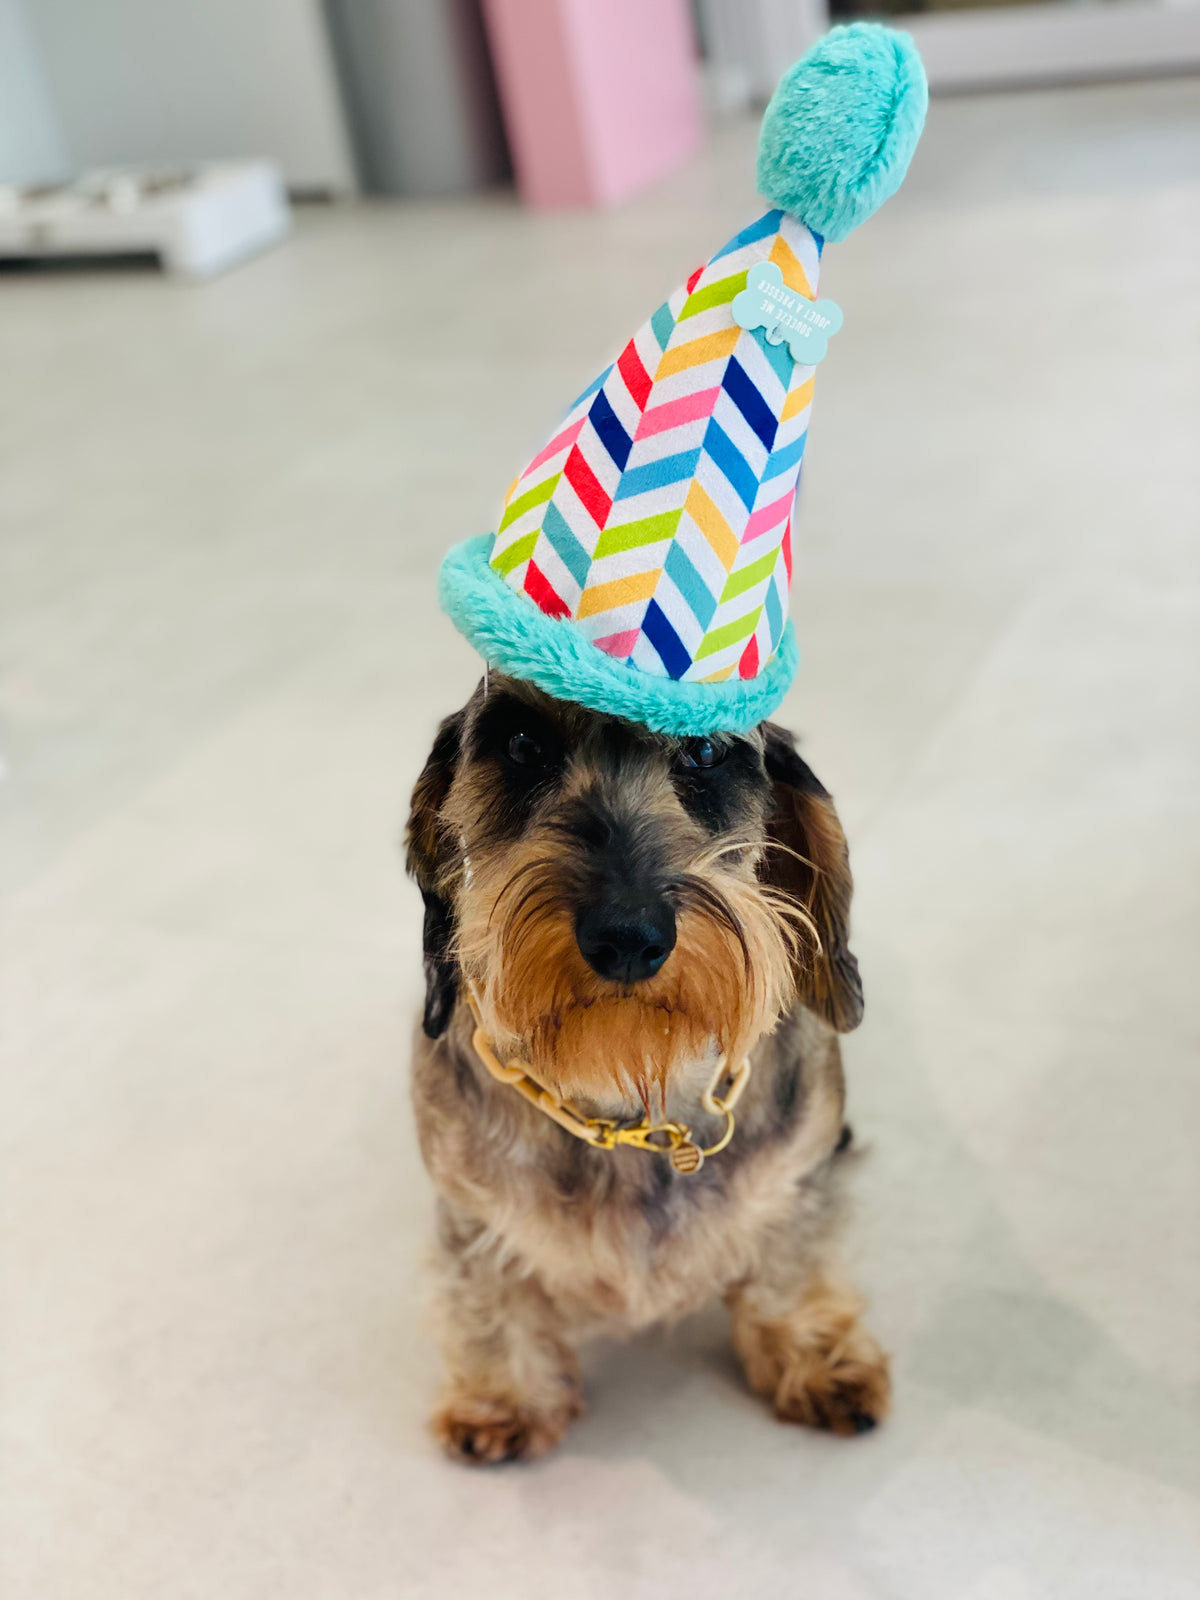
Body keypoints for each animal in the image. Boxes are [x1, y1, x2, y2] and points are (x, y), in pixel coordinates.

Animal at [409, 672, 889, 1465]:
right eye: (522, 743)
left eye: (704, 751)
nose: (628, 936)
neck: (634, 1104)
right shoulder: (469, 1211)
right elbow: (489, 1298)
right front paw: (505, 1397)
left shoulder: (797, 1182)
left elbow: (788, 1271)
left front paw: (815, 1356)